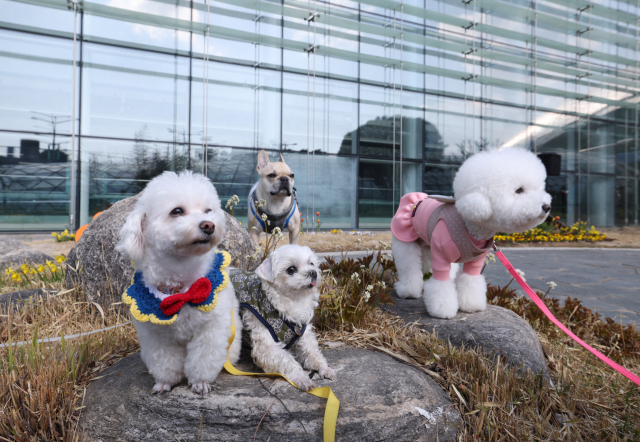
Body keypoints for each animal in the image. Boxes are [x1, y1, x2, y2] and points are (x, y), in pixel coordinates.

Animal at [116, 171, 241, 396]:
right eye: (177, 211)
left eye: (208, 210)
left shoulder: (210, 328)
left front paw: (200, 382)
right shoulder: (156, 334)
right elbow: (165, 361)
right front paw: (164, 382)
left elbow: (203, 358)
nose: (209, 225)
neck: (181, 283)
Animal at [230, 243, 340, 392]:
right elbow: (287, 360)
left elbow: (312, 353)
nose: (313, 272)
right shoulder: (266, 347)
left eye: (311, 263)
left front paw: (324, 367)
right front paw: (302, 378)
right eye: (291, 269)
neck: (294, 302)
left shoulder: (303, 336)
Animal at [390, 148, 552, 318]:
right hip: (405, 241)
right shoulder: (441, 254)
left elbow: (470, 281)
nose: (547, 206)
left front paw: (471, 305)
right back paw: (408, 291)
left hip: (428, 245)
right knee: (409, 267)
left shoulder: (476, 261)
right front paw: (442, 310)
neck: (471, 227)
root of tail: (414, 201)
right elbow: (441, 284)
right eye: (519, 190)